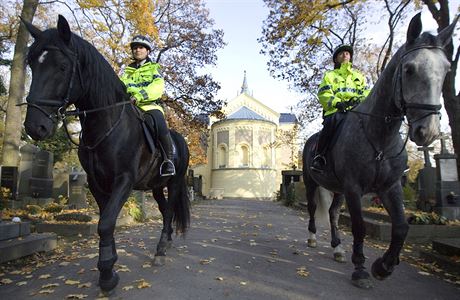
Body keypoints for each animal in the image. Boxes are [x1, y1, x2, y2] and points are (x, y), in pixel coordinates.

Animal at [21, 15, 190, 292]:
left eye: (63, 67)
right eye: (33, 65)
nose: (35, 126)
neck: (107, 123)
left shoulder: (124, 180)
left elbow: (106, 223)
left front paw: (108, 274)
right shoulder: (96, 182)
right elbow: (104, 223)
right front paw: (108, 266)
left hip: (174, 182)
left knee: (169, 211)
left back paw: (161, 250)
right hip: (155, 186)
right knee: (165, 209)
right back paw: (164, 244)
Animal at [302, 12, 456, 290]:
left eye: (446, 69)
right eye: (409, 69)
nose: (427, 132)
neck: (379, 139)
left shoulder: (390, 186)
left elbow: (402, 227)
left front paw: (383, 266)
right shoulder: (354, 188)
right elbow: (360, 227)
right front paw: (361, 270)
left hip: (337, 189)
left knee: (332, 214)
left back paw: (338, 249)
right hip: (312, 183)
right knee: (312, 208)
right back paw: (312, 238)